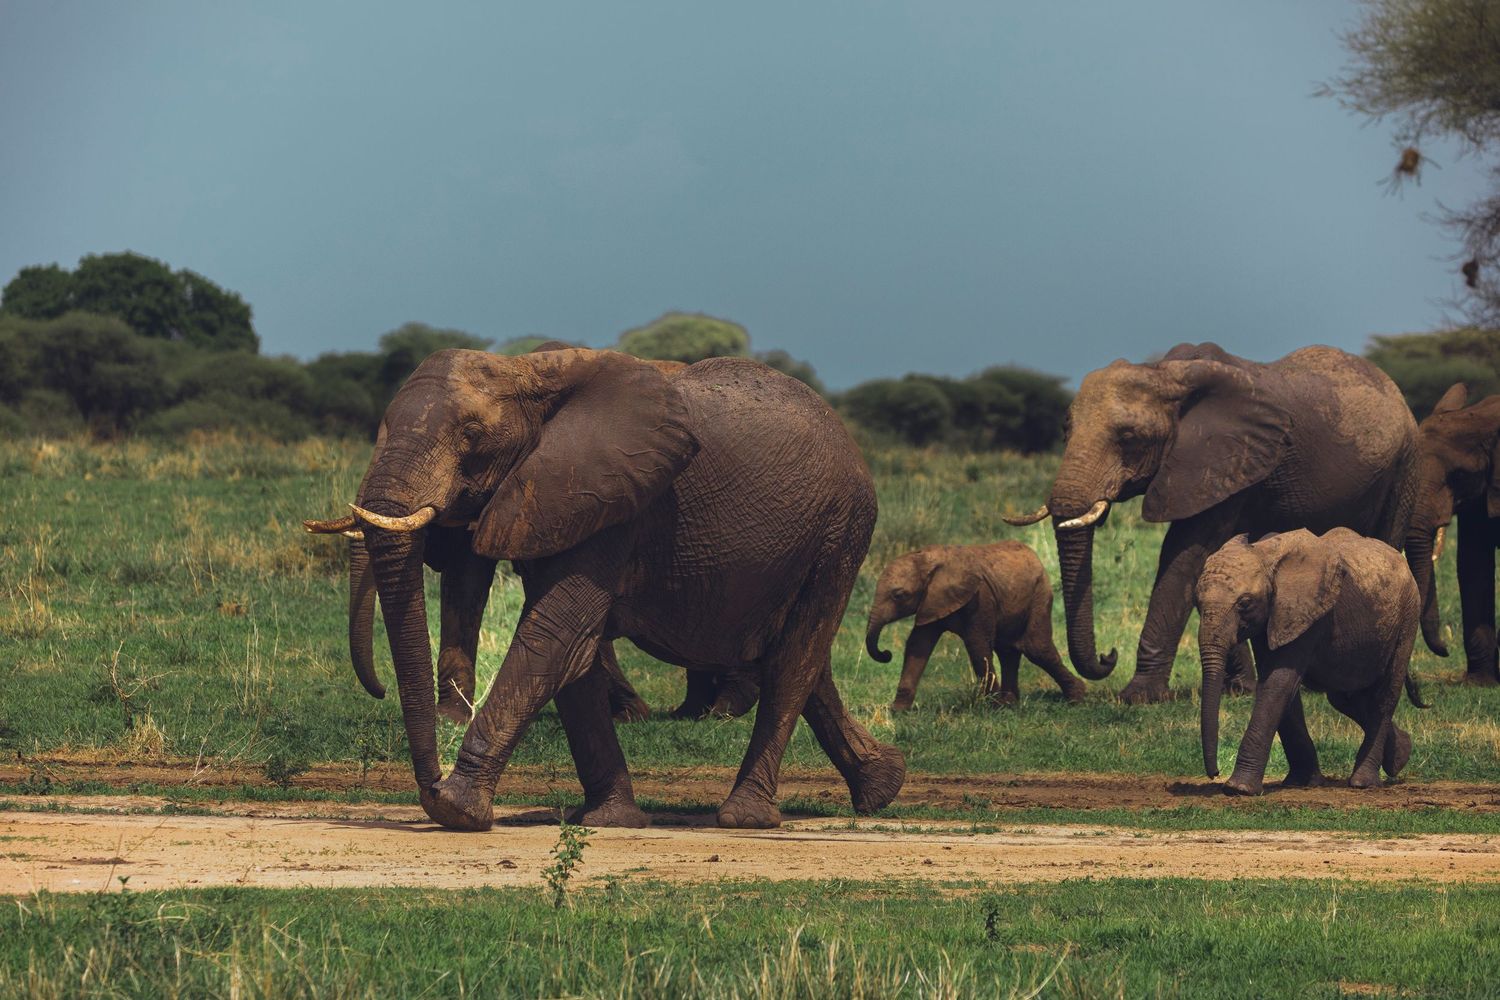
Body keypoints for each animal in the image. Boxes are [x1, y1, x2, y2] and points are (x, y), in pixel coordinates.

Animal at [304, 348, 904, 831]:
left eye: (471, 436)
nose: (428, 781)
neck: (526, 371)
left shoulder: (612, 499)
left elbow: (555, 633)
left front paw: (453, 809)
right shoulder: (557, 499)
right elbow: (574, 653)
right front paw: (608, 820)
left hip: (841, 530)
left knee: (794, 659)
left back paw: (745, 818)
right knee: (798, 657)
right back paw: (882, 788)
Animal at [864, 542, 1085, 709]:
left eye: (899, 595)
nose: (886, 653)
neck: (930, 559)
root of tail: (1035, 556)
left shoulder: (980, 599)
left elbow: (978, 646)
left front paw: (994, 707)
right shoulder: (931, 601)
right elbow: (918, 645)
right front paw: (898, 711)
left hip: (1040, 593)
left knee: (1036, 648)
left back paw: (1077, 698)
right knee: (1008, 650)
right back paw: (1011, 704)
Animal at [1004, 342, 1419, 704]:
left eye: (1129, 437)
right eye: (1065, 430)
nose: (1109, 655)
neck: (1165, 373)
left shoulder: (1222, 459)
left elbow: (1183, 555)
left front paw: (1138, 698)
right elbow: (1215, 558)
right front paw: (1239, 691)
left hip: (1403, 467)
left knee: (1383, 542)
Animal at [1195, 528, 1424, 794]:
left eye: (1245, 603)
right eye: (1197, 602)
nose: (1214, 774)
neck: (1265, 553)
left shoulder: (1308, 613)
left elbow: (1278, 683)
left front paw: (1238, 789)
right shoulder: (1275, 616)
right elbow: (1280, 686)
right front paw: (1302, 782)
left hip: (1408, 617)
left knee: (1384, 696)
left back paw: (1363, 782)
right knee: (1345, 697)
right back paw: (1401, 756)